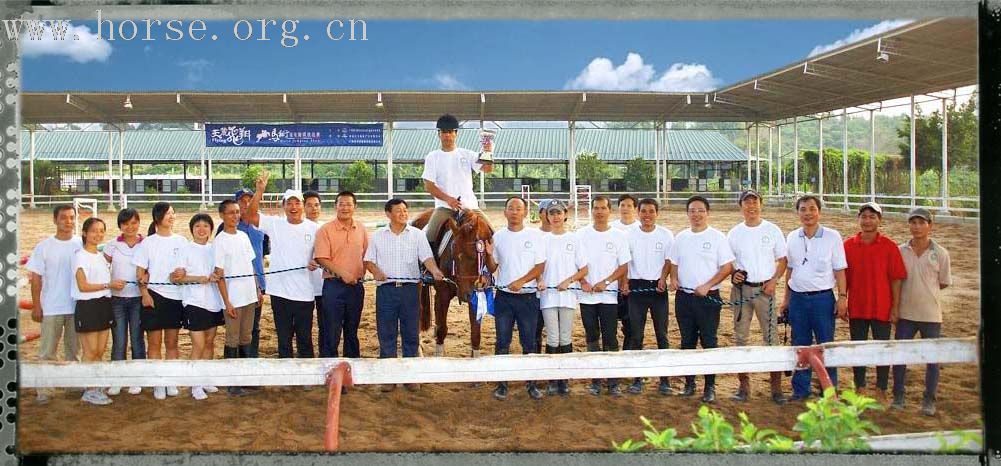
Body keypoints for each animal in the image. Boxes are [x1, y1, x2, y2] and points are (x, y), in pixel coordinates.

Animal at [410, 208, 492, 356]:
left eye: (475, 256)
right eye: (453, 253)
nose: (465, 295)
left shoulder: (477, 294)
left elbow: (475, 333)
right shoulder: (442, 295)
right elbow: (442, 329)